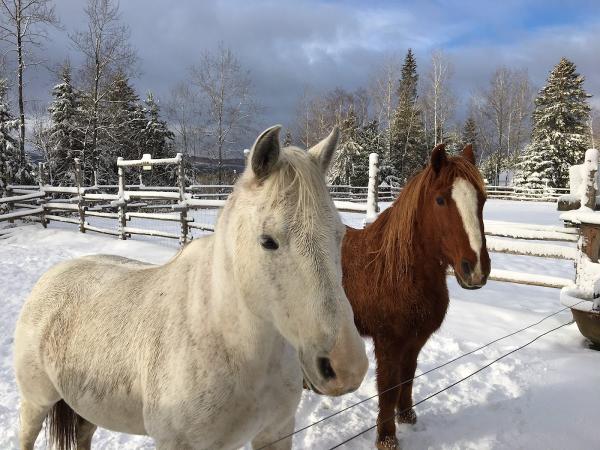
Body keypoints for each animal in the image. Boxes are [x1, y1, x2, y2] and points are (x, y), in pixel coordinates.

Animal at [14, 125, 368, 450]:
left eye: (340, 235)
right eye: (268, 241)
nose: (347, 367)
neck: (227, 341)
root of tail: (49, 279)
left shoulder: (276, 433)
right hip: (36, 403)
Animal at [342, 143, 492, 446]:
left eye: (482, 200)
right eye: (440, 200)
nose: (476, 270)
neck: (395, 271)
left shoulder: (415, 341)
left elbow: (407, 378)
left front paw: (407, 416)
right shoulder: (388, 343)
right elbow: (388, 387)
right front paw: (387, 438)